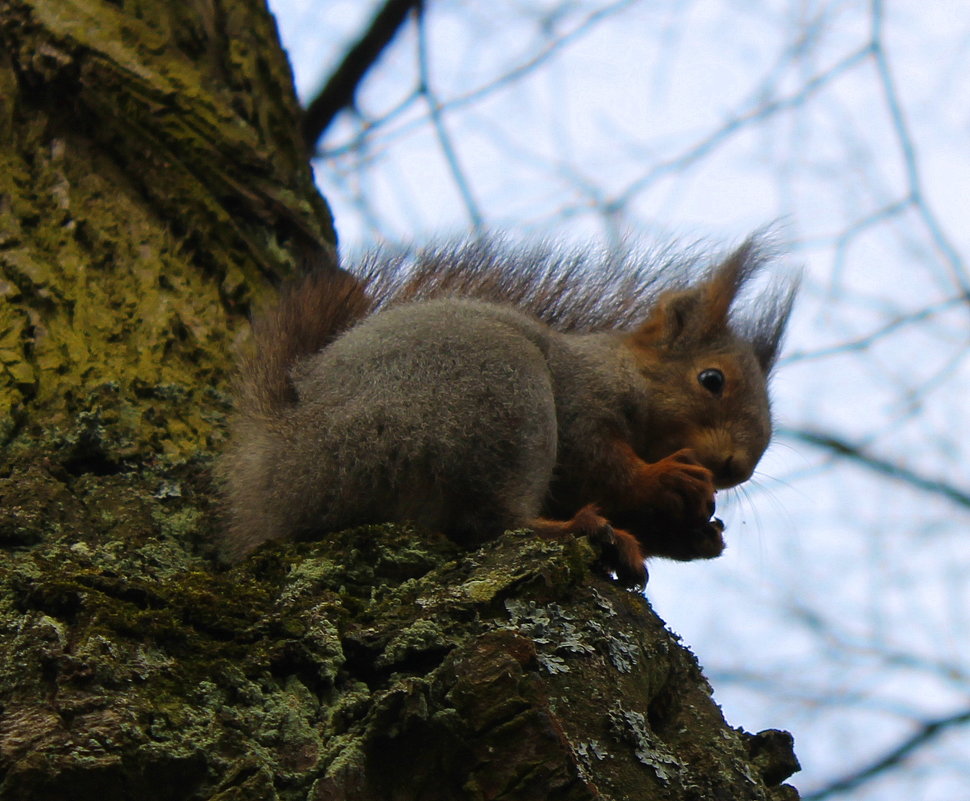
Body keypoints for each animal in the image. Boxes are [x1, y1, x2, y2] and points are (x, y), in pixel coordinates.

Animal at [219, 236, 796, 588]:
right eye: (712, 380)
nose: (737, 468)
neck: (621, 370)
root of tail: (284, 466)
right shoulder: (580, 401)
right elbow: (601, 464)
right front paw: (666, 479)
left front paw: (694, 535)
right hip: (498, 393)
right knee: (493, 521)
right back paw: (583, 531)